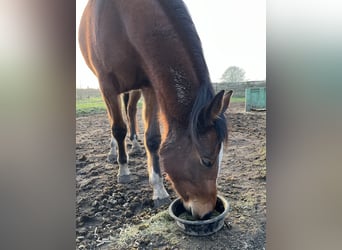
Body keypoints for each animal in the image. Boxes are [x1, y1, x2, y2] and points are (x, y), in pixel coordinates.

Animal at [78, 0, 232, 219]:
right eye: (206, 161)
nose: (207, 212)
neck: (121, 18)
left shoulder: (149, 84)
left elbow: (153, 139)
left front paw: (158, 189)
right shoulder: (106, 84)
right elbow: (118, 129)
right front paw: (123, 170)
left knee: (131, 111)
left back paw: (134, 145)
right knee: (115, 122)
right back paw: (114, 152)